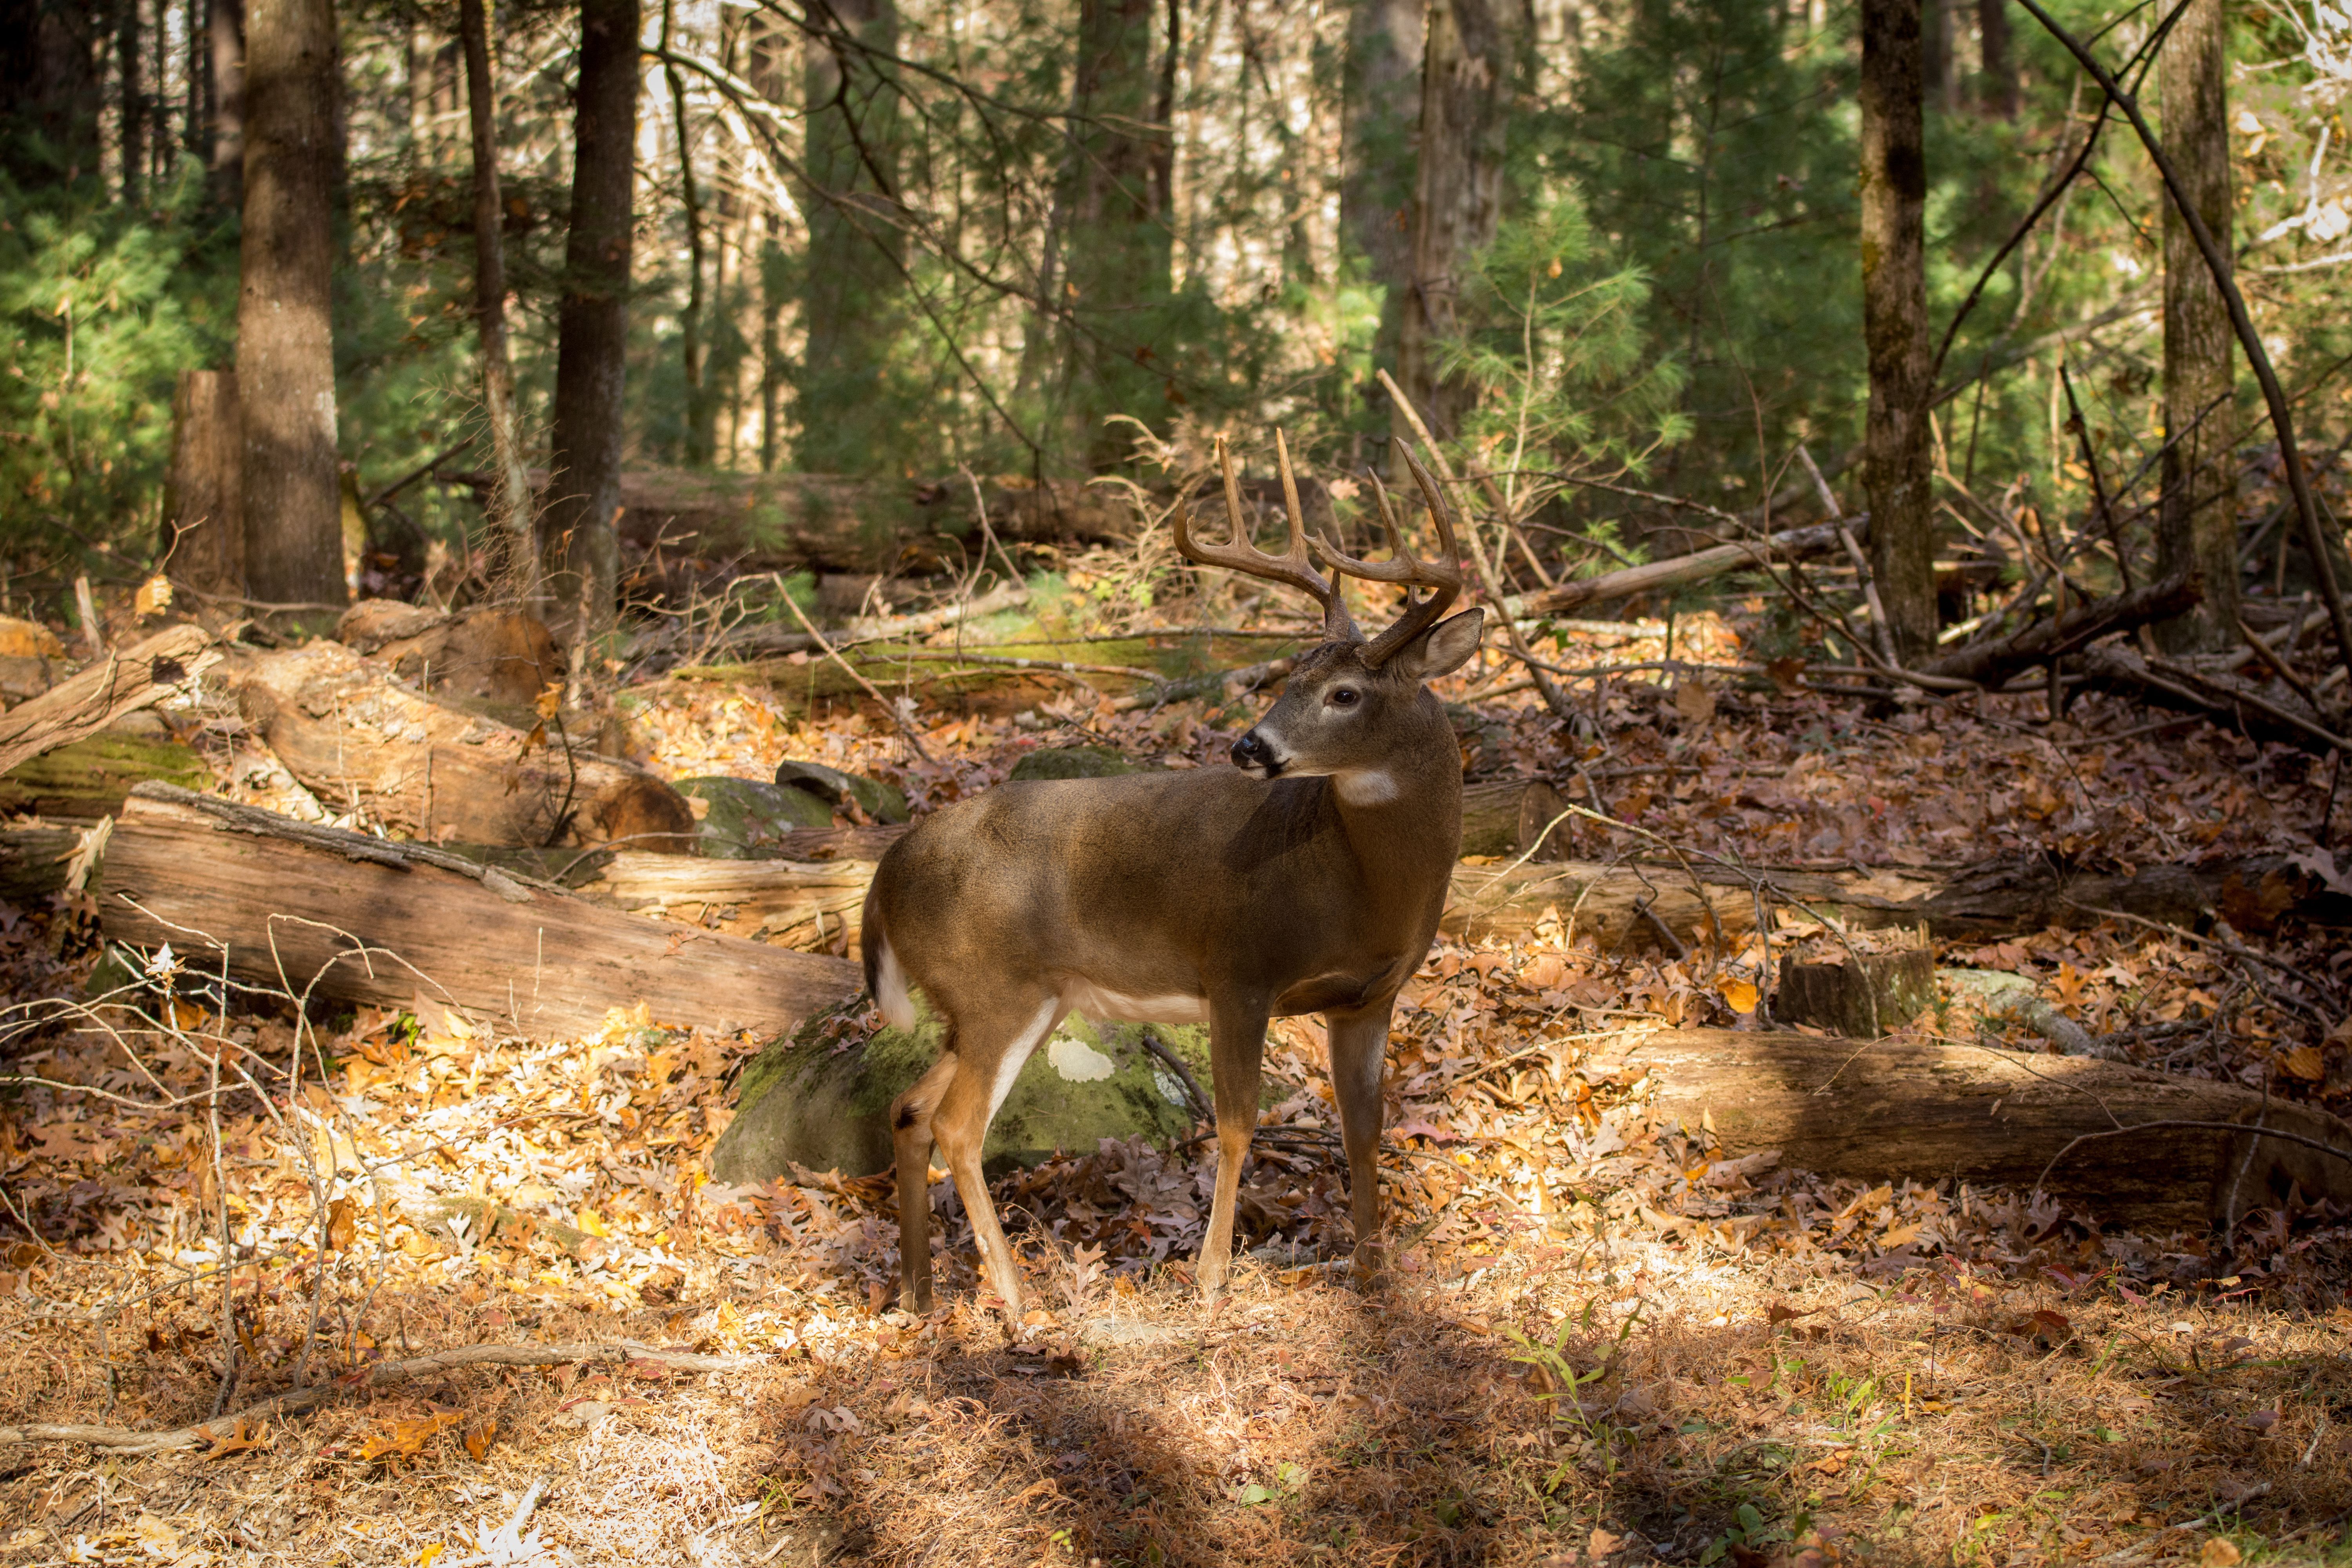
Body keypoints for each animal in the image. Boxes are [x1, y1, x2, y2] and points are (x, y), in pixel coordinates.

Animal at [866, 435, 1486, 1316]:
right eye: (1287, 676)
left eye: (1343, 692)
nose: (1249, 746)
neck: (1357, 883)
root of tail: (884, 873)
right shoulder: (1239, 970)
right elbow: (1235, 1124)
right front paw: (1213, 1275)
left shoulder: (1369, 996)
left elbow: (1365, 1128)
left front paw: (1375, 1277)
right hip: (995, 990)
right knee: (957, 1126)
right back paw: (1017, 1299)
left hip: (1005, 1000)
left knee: (910, 1108)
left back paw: (921, 1294)